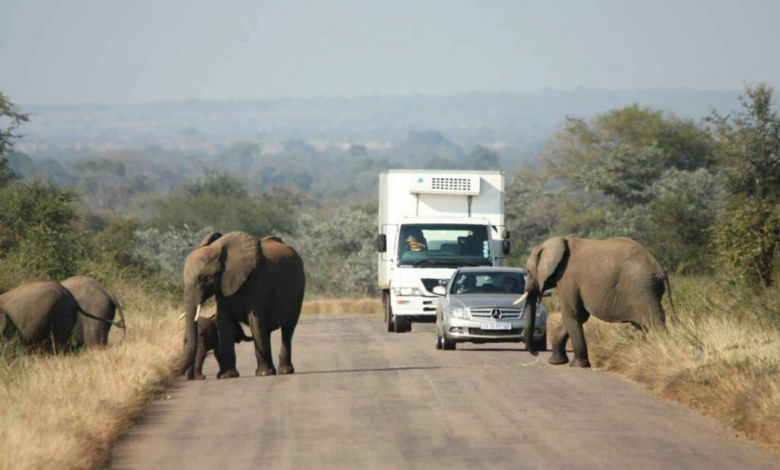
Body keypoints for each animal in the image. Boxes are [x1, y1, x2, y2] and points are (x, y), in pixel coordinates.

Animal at [181, 233, 306, 380]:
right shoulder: (223, 288)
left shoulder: (258, 281)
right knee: (267, 330)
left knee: (287, 330)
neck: (218, 248)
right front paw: (227, 376)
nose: (179, 373)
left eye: (204, 278)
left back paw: (284, 371)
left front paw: (263, 374)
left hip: (298, 295)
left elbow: (254, 319)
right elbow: (223, 321)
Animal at [516, 235, 672, 368]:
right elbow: (579, 315)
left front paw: (577, 365)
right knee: (644, 326)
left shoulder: (567, 278)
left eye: (528, 272)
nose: (536, 352)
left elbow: (572, 314)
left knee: (654, 322)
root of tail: (660, 269)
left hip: (641, 288)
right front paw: (556, 362)